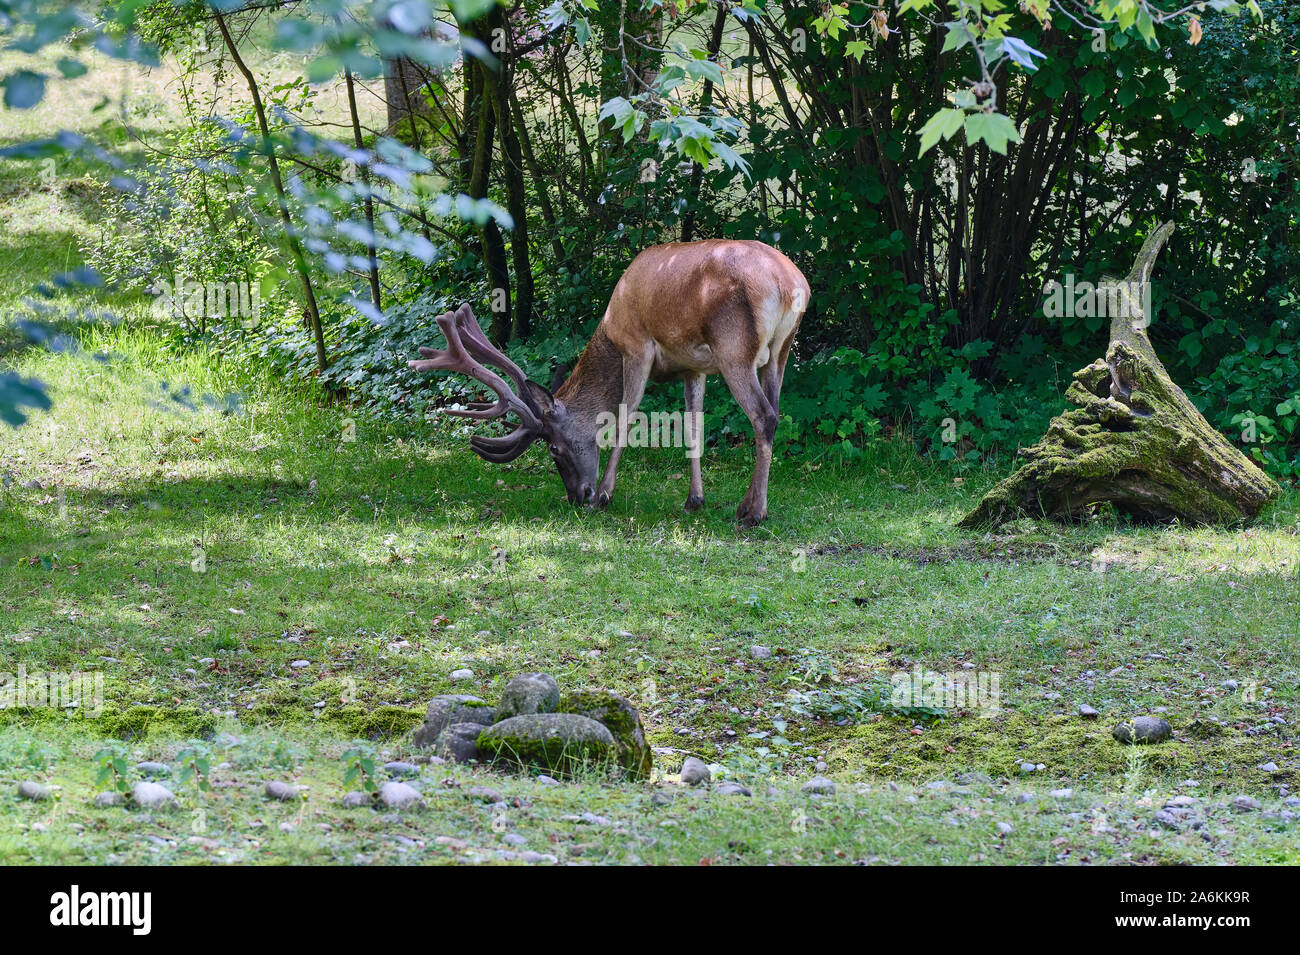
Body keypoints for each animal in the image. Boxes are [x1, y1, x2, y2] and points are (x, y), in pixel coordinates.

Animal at [408, 239, 809, 525]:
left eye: (553, 448)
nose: (577, 496)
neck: (610, 330)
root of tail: (791, 285)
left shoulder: (636, 347)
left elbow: (623, 419)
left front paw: (603, 496)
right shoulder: (693, 366)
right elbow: (693, 426)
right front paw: (694, 500)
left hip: (734, 348)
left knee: (764, 416)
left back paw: (753, 512)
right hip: (781, 351)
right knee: (775, 411)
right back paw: (751, 505)